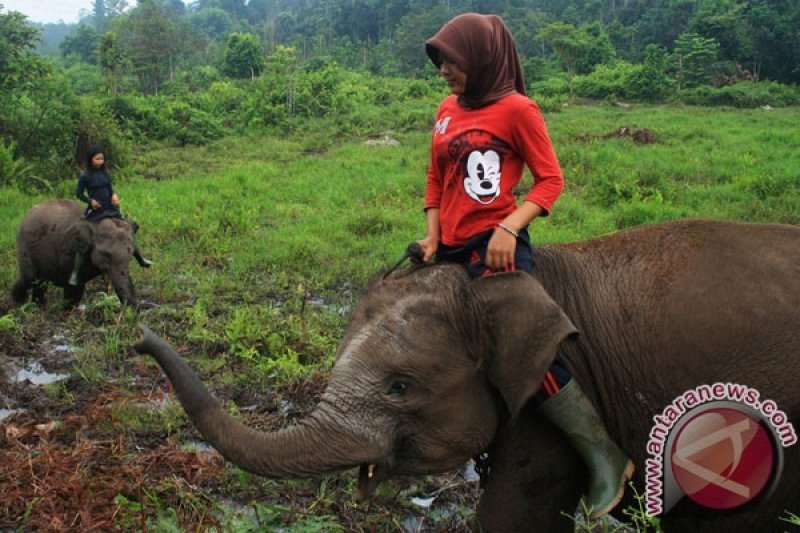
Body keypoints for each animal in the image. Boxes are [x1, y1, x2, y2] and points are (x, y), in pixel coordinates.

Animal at [10, 198, 141, 308]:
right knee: (29, 278)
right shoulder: (70, 252)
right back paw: (18, 303)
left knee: (40, 282)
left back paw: (37, 307)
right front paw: (67, 311)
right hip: (24, 245)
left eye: (131, 254)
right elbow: (72, 285)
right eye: (106, 255)